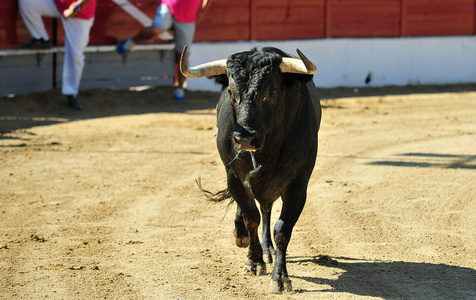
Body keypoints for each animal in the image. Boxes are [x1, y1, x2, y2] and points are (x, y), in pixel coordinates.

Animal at [180, 46, 322, 292]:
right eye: (231, 91)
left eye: (271, 92)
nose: (244, 139)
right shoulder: (234, 178)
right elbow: (251, 217)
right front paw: (254, 261)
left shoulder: (298, 184)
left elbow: (282, 229)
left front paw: (280, 277)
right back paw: (243, 236)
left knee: (267, 210)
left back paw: (268, 249)